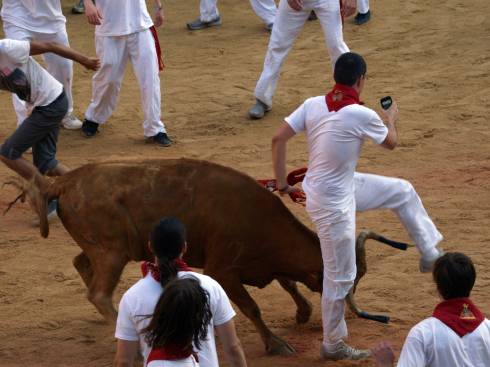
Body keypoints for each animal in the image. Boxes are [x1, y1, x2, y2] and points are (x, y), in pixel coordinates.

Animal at [13, 160, 404, 356]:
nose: (346, 317)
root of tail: (63, 182)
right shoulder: (223, 269)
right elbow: (252, 307)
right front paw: (275, 343)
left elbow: (288, 281)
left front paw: (302, 311)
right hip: (112, 251)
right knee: (98, 292)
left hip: (108, 249)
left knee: (82, 264)